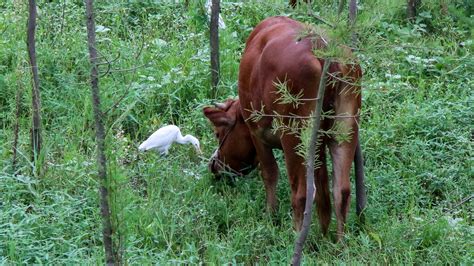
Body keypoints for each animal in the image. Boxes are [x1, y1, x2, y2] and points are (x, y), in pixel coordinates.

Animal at [204, 17, 362, 240]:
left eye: (218, 133)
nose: (214, 166)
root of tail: (322, 48)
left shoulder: (257, 134)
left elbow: (269, 173)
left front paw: (271, 216)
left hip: (293, 135)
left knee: (301, 193)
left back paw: (295, 236)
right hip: (345, 128)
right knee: (341, 190)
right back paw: (339, 243)